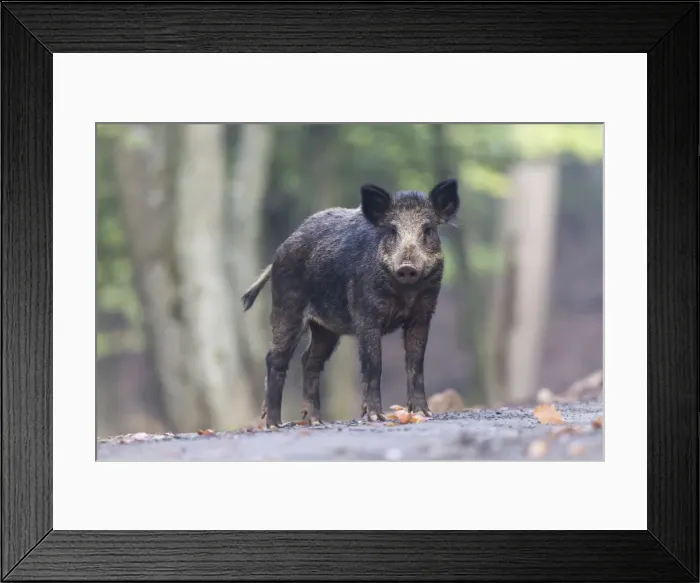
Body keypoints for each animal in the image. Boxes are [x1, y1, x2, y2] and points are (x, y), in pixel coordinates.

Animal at [241, 178, 460, 428]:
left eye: (428, 229)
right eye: (392, 230)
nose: (407, 267)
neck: (404, 292)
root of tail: (278, 253)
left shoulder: (422, 314)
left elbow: (416, 363)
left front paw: (425, 414)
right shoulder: (366, 316)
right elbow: (374, 363)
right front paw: (376, 417)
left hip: (325, 329)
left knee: (309, 360)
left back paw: (316, 421)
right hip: (286, 308)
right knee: (275, 358)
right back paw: (274, 424)